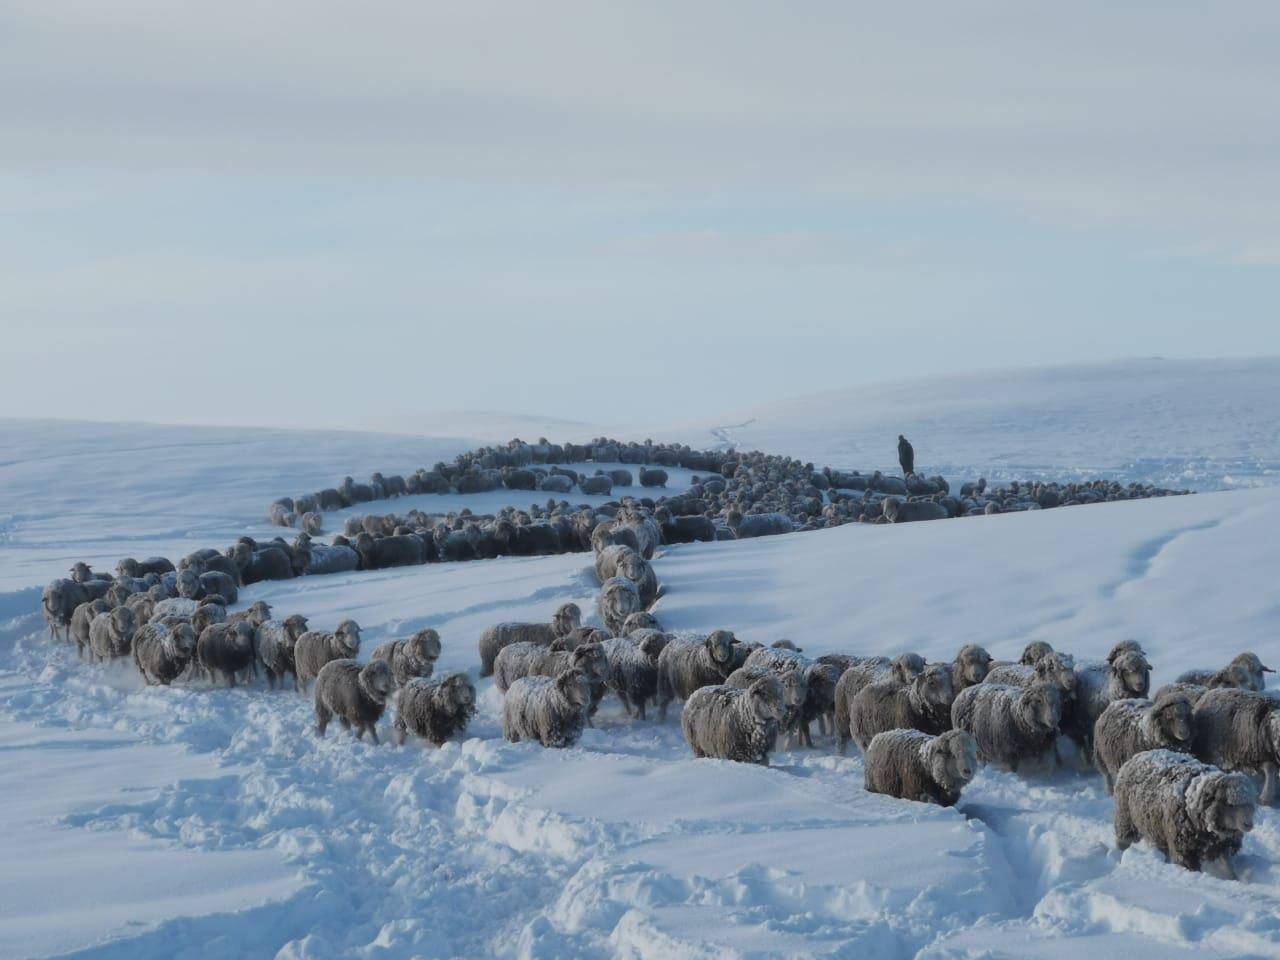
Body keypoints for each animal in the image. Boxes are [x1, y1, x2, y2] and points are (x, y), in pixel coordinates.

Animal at [1113, 749, 1257, 878]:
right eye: (1230, 803)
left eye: (1250, 803)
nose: (1248, 824)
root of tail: (1138, 755)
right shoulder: (1184, 850)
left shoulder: (1220, 846)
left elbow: (1228, 870)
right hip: (1126, 819)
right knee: (1123, 840)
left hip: (1156, 828)